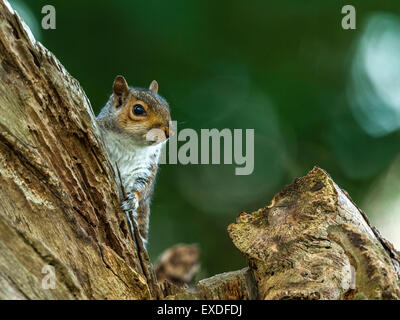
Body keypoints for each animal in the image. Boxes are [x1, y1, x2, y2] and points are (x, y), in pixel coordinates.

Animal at [97, 76, 173, 246]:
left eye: (167, 107)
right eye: (138, 110)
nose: (169, 132)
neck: (129, 143)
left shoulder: (147, 166)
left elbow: (143, 187)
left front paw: (132, 199)